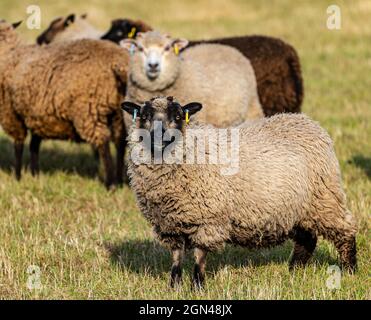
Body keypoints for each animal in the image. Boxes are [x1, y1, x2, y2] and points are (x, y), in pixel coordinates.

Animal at [0, 20, 129, 188]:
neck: (10, 54)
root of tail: (118, 64)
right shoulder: (38, 116)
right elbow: (34, 145)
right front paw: (35, 174)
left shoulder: (11, 114)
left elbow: (18, 145)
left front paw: (17, 177)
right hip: (119, 113)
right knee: (120, 142)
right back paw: (119, 180)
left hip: (88, 110)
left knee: (103, 142)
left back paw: (110, 183)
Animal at [122, 96, 358, 288]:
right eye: (144, 116)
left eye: (178, 116)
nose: (160, 136)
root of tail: (307, 121)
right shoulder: (170, 223)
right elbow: (177, 257)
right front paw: (174, 286)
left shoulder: (208, 219)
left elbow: (199, 256)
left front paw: (197, 286)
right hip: (294, 208)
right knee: (307, 238)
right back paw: (294, 270)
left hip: (325, 198)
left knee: (345, 230)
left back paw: (350, 270)